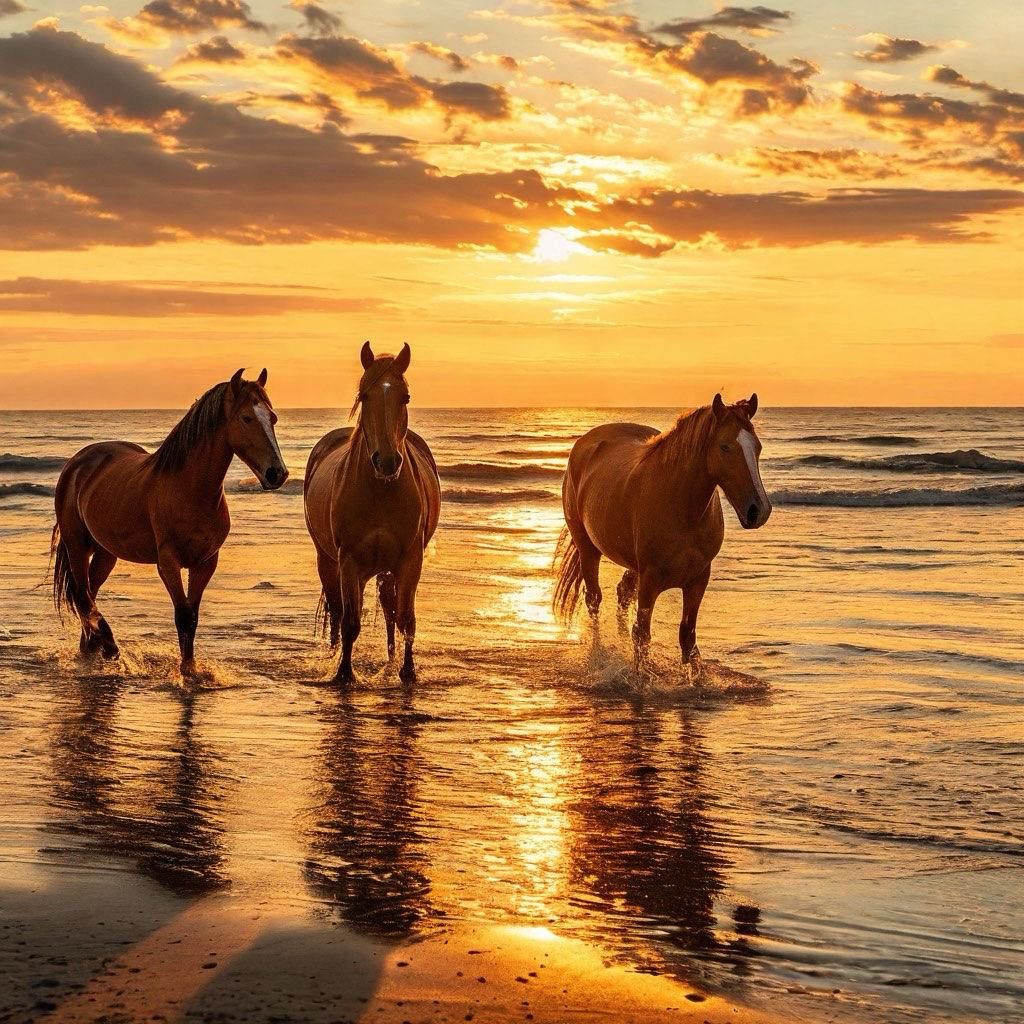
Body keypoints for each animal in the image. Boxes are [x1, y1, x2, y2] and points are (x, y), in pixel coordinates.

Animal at [52, 370, 288, 679]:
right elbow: (183, 615)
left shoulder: (206, 562)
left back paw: (92, 650)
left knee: (90, 593)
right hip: (77, 544)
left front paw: (191, 667)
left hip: (106, 551)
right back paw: (110, 648)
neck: (188, 488)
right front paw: (186, 672)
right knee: (82, 595)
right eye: (247, 417)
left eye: (272, 417)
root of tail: (78, 462)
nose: (277, 473)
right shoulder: (168, 562)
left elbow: (193, 616)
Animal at [299, 339, 436, 684]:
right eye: (364, 396)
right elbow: (350, 621)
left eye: (405, 397)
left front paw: (408, 671)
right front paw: (344, 673)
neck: (380, 491)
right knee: (338, 612)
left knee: (389, 609)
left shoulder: (410, 560)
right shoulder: (348, 560)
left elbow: (406, 618)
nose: (387, 461)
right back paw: (334, 655)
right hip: (330, 560)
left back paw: (390, 659)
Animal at [557, 391, 770, 671]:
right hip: (588, 549)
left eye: (757, 447)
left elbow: (687, 637)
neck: (681, 508)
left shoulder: (698, 580)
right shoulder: (650, 581)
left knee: (622, 594)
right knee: (594, 599)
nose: (759, 511)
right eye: (725, 446)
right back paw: (598, 653)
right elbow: (642, 634)